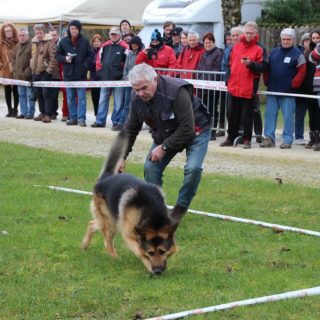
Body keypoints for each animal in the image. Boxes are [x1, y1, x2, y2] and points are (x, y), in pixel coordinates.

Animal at [81, 131, 179, 276]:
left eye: (162, 251)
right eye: (150, 252)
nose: (157, 271)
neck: (152, 212)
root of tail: (106, 177)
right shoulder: (129, 235)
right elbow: (140, 252)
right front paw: (148, 266)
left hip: (109, 220)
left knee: (92, 224)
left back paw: (84, 245)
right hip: (111, 222)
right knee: (107, 242)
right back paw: (115, 258)